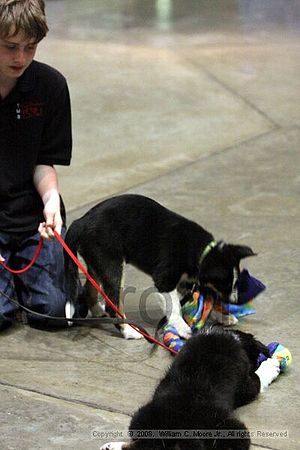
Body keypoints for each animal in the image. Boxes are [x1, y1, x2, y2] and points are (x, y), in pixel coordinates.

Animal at [65, 193, 255, 338]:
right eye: (225, 284)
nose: (234, 301)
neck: (201, 250)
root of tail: (81, 221)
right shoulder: (165, 280)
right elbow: (174, 306)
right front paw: (183, 328)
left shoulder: (187, 282)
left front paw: (223, 316)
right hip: (111, 265)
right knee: (113, 304)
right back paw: (129, 331)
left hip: (97, 263)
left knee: (90, 289)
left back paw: (98, 311)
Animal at [99, 326, 280, 450]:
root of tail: (180, 429)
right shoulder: (246, 386)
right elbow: (258, 378)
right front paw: (272, 365)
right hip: (232, 429)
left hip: (142, 420)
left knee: (141, 445)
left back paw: (111, 446)